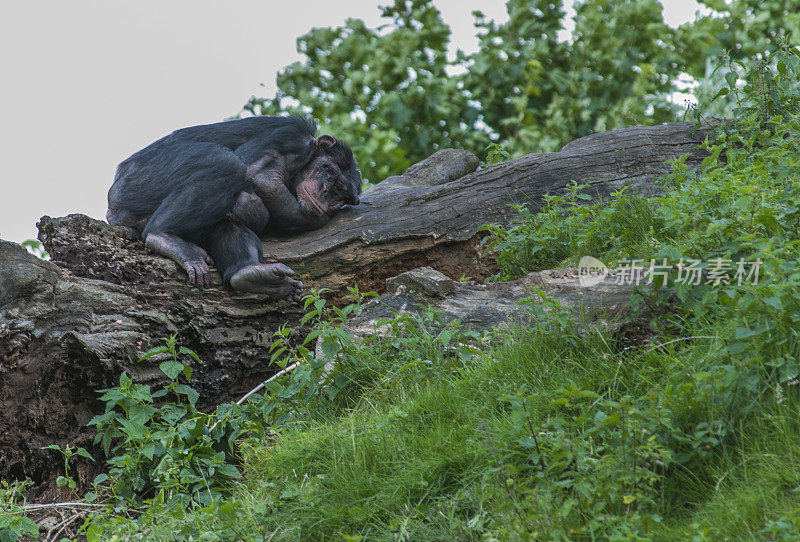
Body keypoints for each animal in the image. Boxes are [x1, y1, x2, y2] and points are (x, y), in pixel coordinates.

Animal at [104, 116, 360, 302]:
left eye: (340, 192)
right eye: (328, 170)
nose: (325, 190)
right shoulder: (292, 139)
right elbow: (259, 175)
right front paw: (252, 206)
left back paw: (252, 275)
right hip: (137, 183)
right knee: (225, 162)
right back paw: (164, 236)